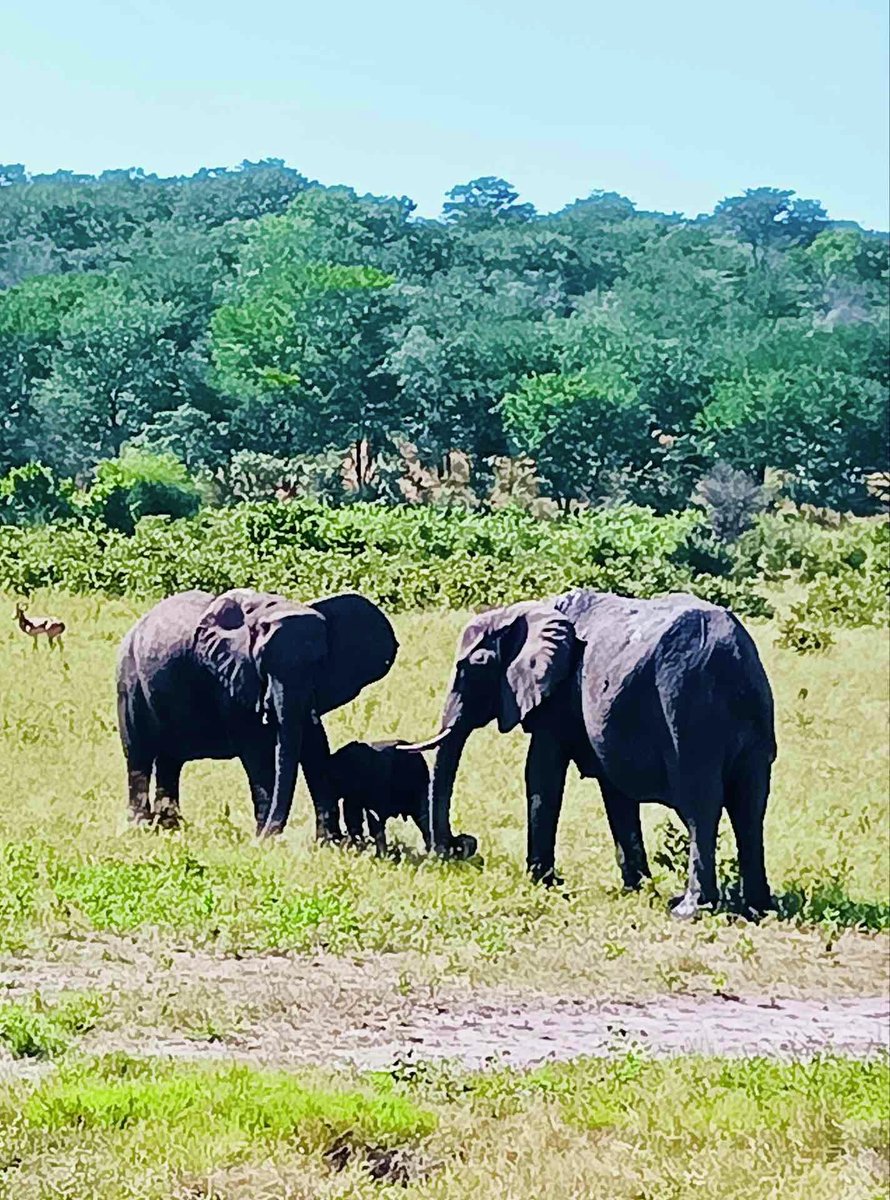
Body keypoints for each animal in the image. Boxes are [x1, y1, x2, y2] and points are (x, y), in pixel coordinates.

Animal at [116, 589, 398, 838]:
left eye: (320, 663)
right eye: (264, 664)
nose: (265, 837)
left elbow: (315, 746)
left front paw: (331, 844)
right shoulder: (232, 677)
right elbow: (258, 753)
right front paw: (266, 841)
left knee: (170, 759)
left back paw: (170, 828)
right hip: (129, 679)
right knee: (139, 753)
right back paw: (141, 828)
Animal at [403, 588, 776, 918]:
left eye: (476, 666)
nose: (460, 846)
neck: (525, 611)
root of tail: (731, 652)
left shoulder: (558, 696)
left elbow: (541, 773)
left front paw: (542, 883)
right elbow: (614, 791)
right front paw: (636, 891)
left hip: (686, 706)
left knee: (701, 804)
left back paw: (688, 911)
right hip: (751, 711)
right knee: (750, 806)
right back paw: (758, 909)